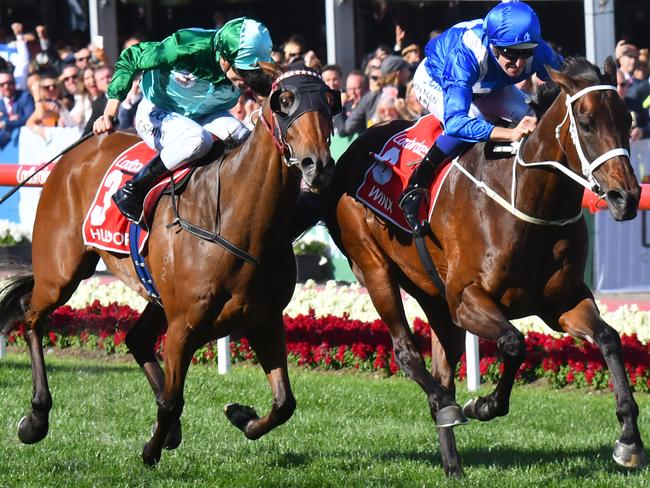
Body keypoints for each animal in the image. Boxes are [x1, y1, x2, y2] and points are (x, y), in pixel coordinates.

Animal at [1, 63, 340, 466]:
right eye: (284, 100)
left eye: (329, 100)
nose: (317, 165)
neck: (235, 220)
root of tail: (76, 151)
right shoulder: (183, 327)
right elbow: (172, 401)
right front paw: (151, 450)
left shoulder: (264, 318)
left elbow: (284, 402)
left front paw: (240, 415)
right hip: (61, 273)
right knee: (30, 314)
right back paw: (36, 418)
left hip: (155, 293)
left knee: (135, 338)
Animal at [324, 57, 644, 476]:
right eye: (586, 122)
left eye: (627, 118)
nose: (627, 197)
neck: (527, 199)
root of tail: (352, 151)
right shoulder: (466, 298)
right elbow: (514, 343)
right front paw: (485, 404)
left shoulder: (562, 302)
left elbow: (608, 338)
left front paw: (629, 440)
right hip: (373, 266)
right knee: (407, 352)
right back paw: (447, 407)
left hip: (433, 296)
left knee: (443, 370)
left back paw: (452, 463)